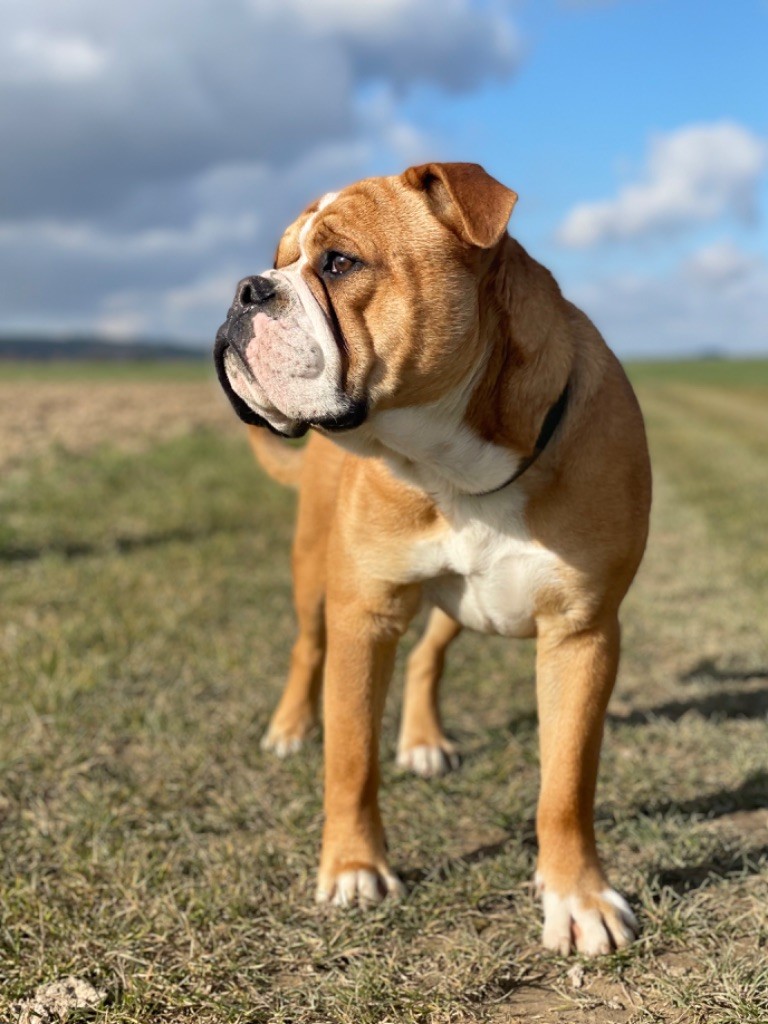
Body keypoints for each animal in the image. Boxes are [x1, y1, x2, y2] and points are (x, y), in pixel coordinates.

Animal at [214, 163, 651, 954]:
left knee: (431, 654)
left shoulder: (582, 632)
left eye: (338, 263)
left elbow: (567, 783)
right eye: (279, 259)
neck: (454, 467)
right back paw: (291, 728)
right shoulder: (364, 616)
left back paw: (421, 741)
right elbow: (351, 756)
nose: (246, 290)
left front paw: (577, 897)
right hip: (313, 574)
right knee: (306, 648)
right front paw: (355, 869)